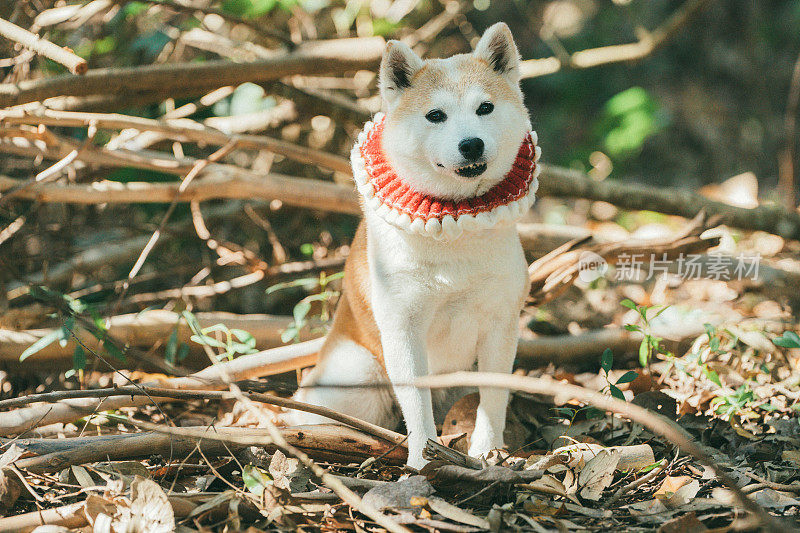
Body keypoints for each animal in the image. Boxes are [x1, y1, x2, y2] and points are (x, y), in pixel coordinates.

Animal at [290, 23, 540, 466]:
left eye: (485, 108)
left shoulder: (500, 322)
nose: (471, 144)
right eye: (435, 115)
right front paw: (424, 461)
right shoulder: (403, 326)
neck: (455, 229)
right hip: (358, 375)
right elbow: (416, 405)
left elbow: (493, 398)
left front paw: (487, 450)